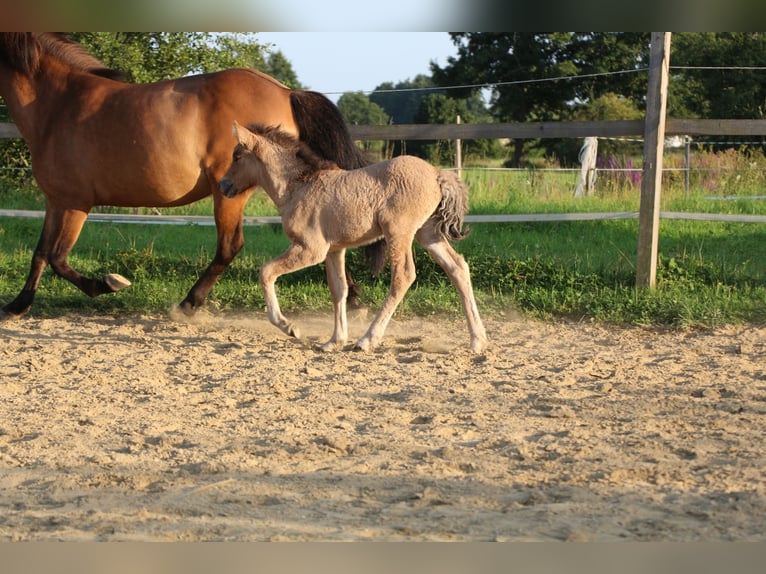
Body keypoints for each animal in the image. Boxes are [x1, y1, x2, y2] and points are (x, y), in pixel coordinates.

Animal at [0, 32, 375, 320]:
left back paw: (188, 303)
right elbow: (40, 253)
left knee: (230, 246)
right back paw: (354, 299)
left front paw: (108, 283)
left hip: (230, 191)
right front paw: (17, 305)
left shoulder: (75, 202)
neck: (58, 104)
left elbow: (57, 257)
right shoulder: (56, 200)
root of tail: (285, 91)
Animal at [219, 122, 488, 353]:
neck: (299, 186)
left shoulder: (310, 249)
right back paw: (477, 340)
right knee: (457, 267)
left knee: (403, 276)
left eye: (237, 156)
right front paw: (334, 341)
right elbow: (339, 289)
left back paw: (367, 339)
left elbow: (266, 271)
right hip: (428, 233)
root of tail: (437, 173)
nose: (223, 185)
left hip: (398, 232)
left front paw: (289, 327)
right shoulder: (334, 249)